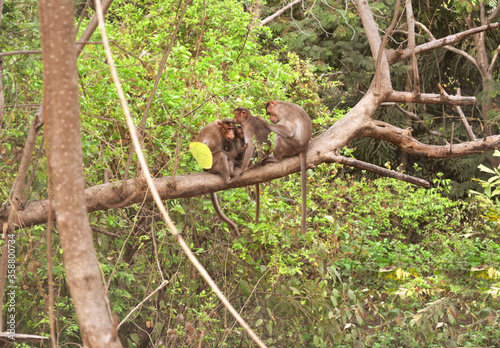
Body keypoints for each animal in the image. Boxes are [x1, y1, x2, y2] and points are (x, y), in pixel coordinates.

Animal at [264, 99, 310, 234]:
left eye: (269, 113)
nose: (271, 119)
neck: (280, 106)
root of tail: (303, 147)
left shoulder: (284, 114)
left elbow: (288, 130)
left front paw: (264, 123)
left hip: (291, 146)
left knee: (280, 136)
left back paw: (276, 158)